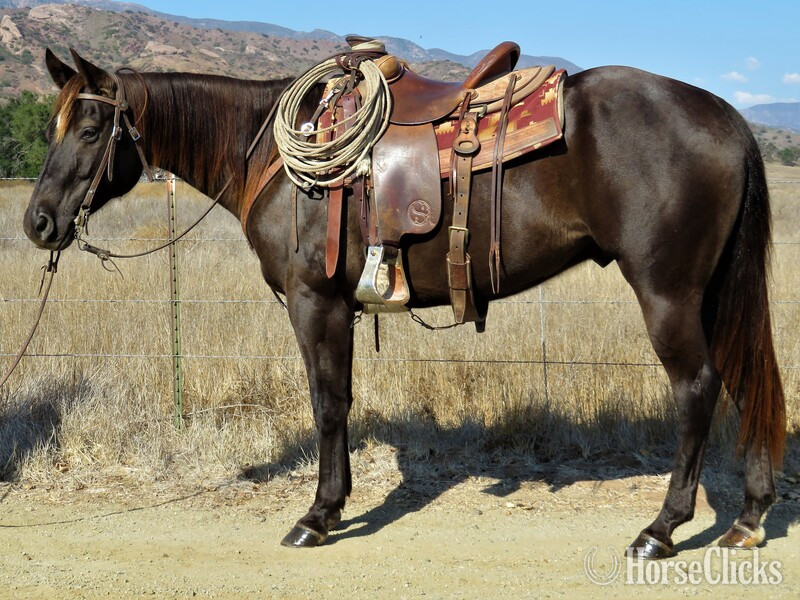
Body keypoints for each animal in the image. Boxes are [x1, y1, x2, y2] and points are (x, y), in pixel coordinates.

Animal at [24, 48, 785, 556]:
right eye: (53, 128)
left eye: (88, 131)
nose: (37, 222)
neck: (264, 152)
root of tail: (726, 115)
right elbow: (339, 401)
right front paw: (330, 506)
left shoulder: (316, 303)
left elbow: (329, 403)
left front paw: (318, 515)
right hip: (710, 294)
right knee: (743, 380)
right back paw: (748, 519)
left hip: (667, 292)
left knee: (697, 389)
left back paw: (662, 528)